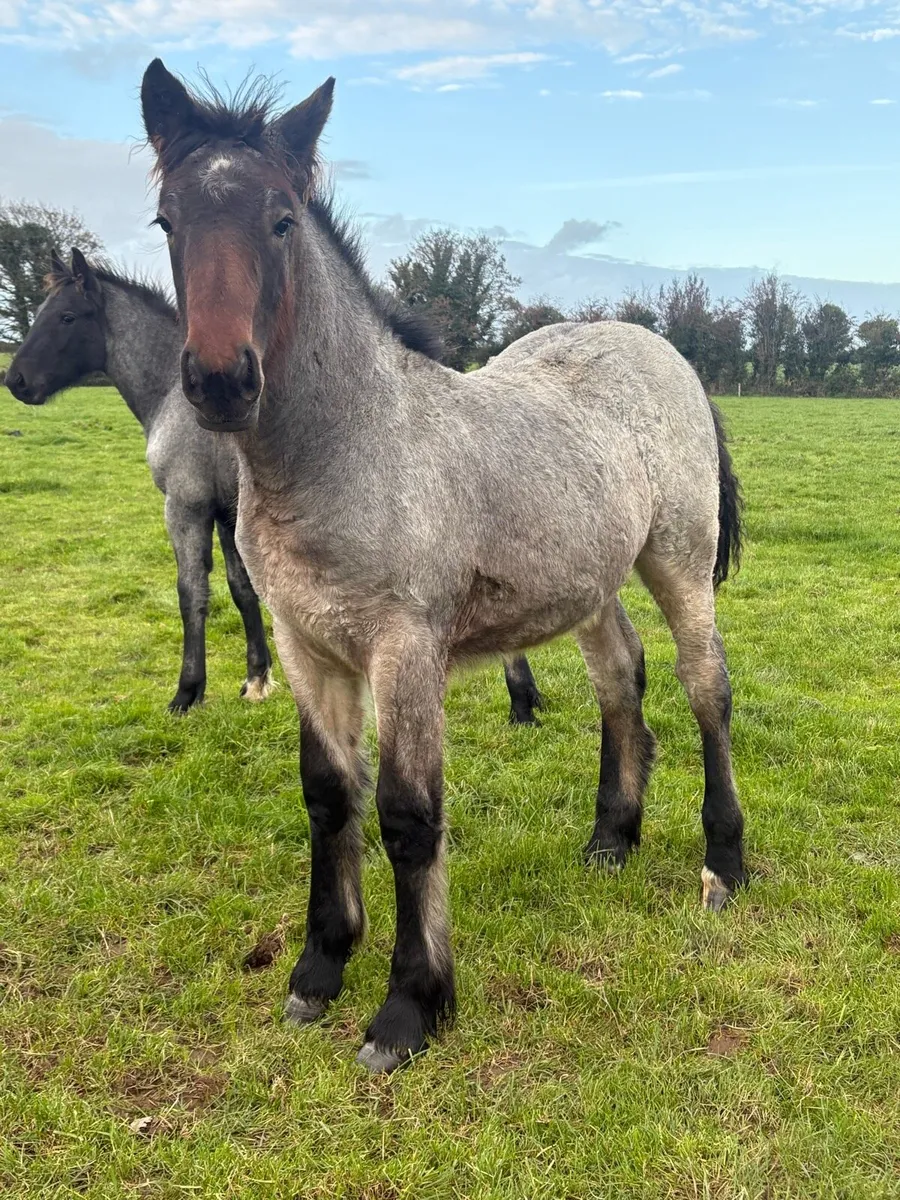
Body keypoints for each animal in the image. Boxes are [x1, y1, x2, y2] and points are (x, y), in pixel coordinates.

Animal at [140, 60, 746, 1072]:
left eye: (281, 219)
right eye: (166, 221)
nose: (221, 382)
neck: (347, 450)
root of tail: (656, 347)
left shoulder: (405, 650)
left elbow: (408, 816)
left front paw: (409, 1007)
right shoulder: (307, 647)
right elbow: (328, 797)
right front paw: (318, 970)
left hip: (680, 560)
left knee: (707, 688)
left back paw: (725, 864)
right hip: (589, 583)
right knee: (622, 678)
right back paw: (610, 840)